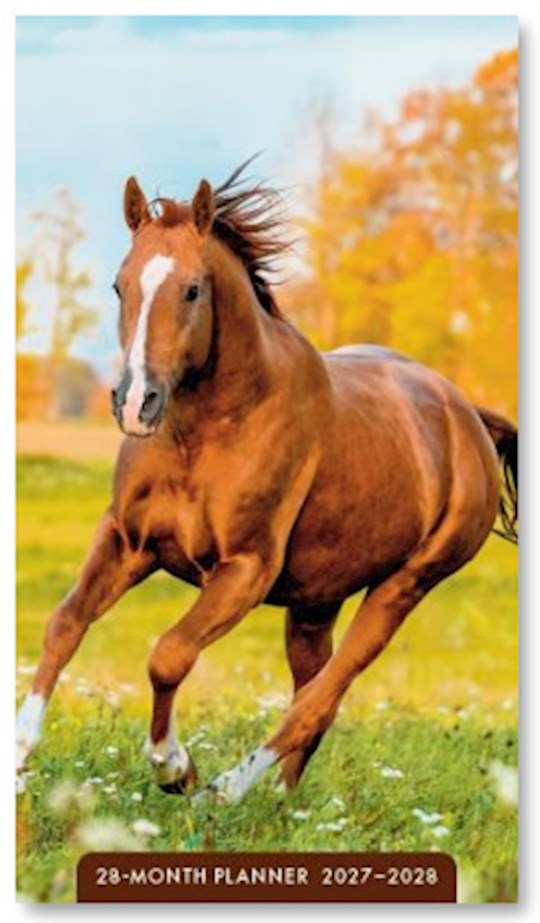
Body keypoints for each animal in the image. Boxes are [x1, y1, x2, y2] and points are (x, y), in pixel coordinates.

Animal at [16, 161, 518, 802]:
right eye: (119, 285)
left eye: (193, 289)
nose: (135, 402)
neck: (203, 436)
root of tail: (471, 419)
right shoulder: (127, 541)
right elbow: (65, 624)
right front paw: (16, 759)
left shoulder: (245, 571)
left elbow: (169, 654)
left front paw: (176, 767)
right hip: (317, 602)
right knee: (314, 693)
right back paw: (283, 801)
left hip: (402, 588)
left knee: (318, 700)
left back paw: (225, 790)